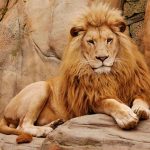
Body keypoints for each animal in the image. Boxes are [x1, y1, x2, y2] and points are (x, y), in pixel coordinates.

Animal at [0, 1, 150, 141]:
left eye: (109, 40)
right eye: (91, 41)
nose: (102, 58)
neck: (110, 75)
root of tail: (4, 112)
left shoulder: (137, 87)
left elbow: (141, 98)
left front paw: (141, 109)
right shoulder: (90, 102)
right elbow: (110, 103)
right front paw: (127, 116)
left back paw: (54, 124)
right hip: (41, 87)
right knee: (22, 125)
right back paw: (44, 130)